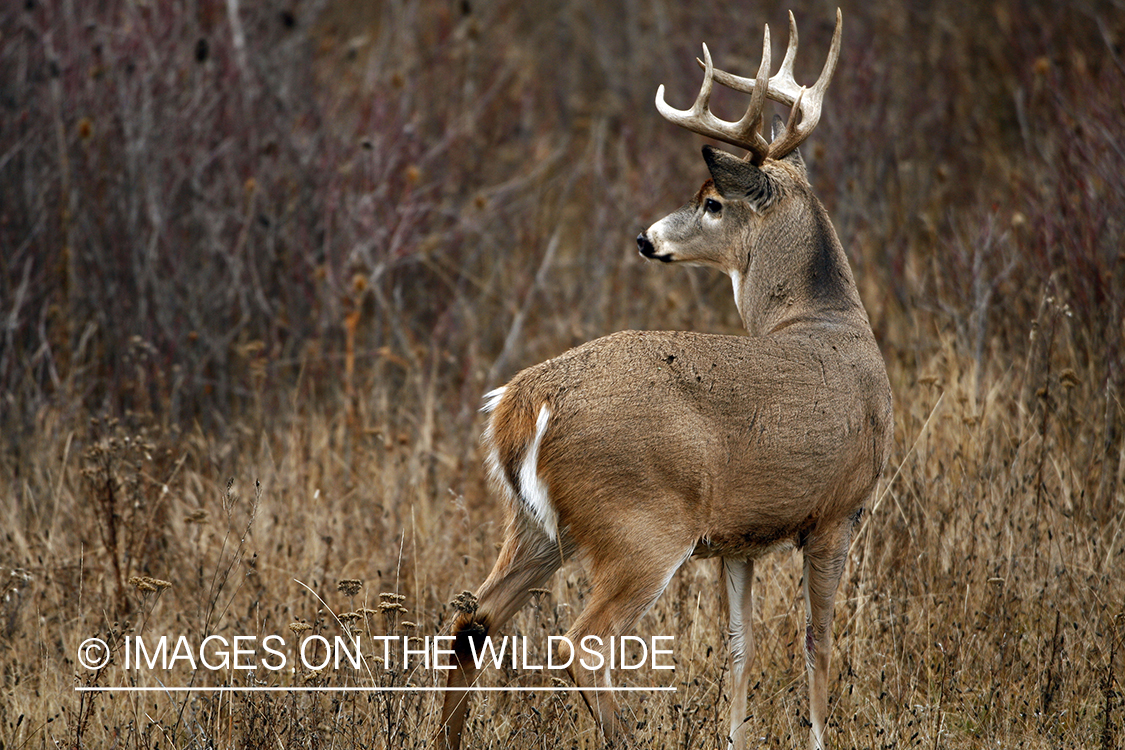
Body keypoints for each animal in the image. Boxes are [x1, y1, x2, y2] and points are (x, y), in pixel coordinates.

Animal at [438, 11, 886, 750]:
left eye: (711, 203)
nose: (646, 238)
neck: (826, 318)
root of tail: (522, 402)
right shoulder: (837, 510)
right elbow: (817, 641)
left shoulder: (739, 538)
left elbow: (741, 647)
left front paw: (737, 737)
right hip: (640, 522)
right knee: (580, 641)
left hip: (537, 524)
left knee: (473, 618)